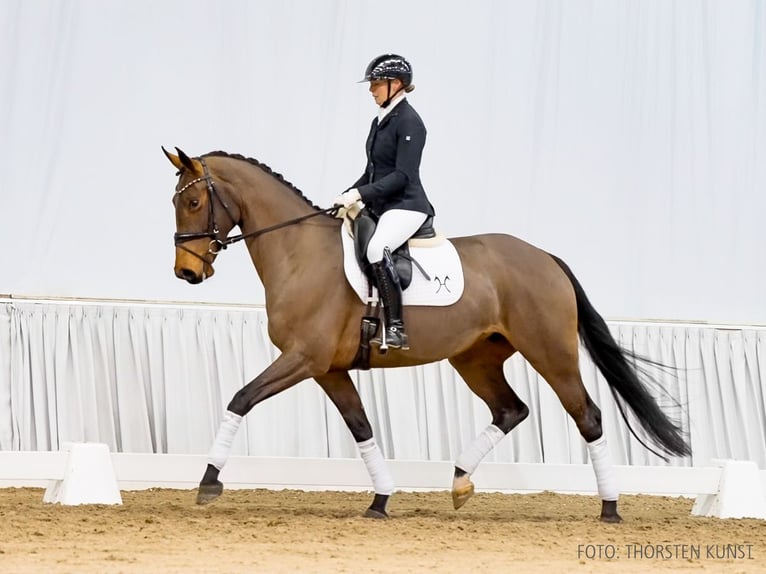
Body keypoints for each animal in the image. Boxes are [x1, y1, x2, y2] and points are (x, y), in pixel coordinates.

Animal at [165, 146, 692, 524]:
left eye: (192, 201)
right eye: (176, 202)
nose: (187, 273)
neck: (299, 253)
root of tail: (545, 257)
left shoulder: (304, 358)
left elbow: (241, 397)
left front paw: (208, 482)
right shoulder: (328, 369)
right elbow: (361, 427)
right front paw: (380, 500)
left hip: (551, 353)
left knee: (588, 417)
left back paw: (610, 509)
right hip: (475, 358)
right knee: (511, 409)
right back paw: (459, 483)